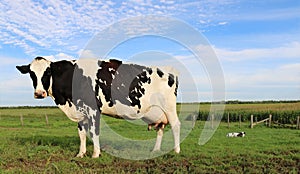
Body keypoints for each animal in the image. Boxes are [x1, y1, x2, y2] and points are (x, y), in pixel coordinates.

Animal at [15, 56, 180, 158]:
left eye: (48, 72)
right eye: (31, 73)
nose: (39, 93)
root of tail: (169, 72)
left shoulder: (94, 110)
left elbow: (95, 132)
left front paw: (95, 154)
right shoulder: (80, 111)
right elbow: (81, 134)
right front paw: (80, 154)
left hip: (169, 107)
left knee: (176, 125)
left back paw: (176, 150)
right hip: (157, 112)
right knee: (160, 129)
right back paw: (155, 150)